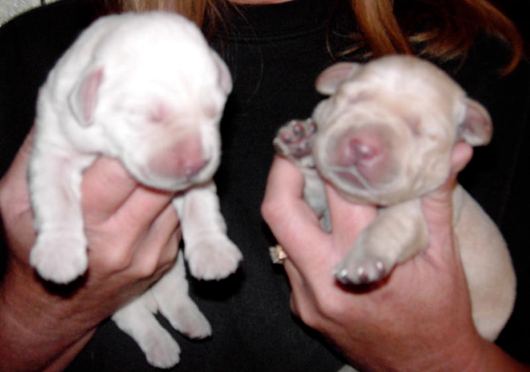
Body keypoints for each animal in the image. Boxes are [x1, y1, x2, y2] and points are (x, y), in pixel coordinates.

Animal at [29, 12, 241, 370]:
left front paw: (213, 253)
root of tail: (145, 295)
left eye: (214, 112)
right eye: (147, 116)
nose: (195, 163)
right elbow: (57, 197)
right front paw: (59, 255)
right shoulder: (54, 146)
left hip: (171, 268)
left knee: (174, 295)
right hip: (117, 299)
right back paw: (162, 347)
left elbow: (200, 206)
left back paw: (192, 323)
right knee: (136, 319)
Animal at [274, 55, 512, 342]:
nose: (363, 146)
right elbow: (315, 187)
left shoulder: (414, 214)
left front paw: (362, 259)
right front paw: (300, 143)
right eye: (350, 99)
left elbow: (386, 227)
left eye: (422, 132)